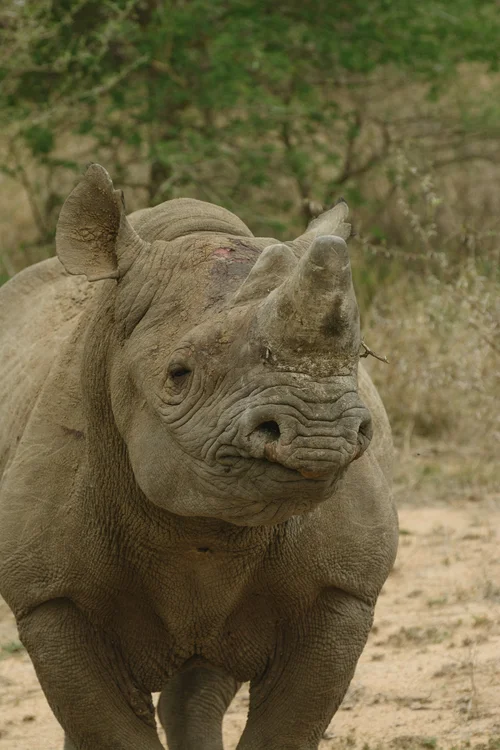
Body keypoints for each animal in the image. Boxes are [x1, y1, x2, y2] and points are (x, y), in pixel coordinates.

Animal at [0, 164, 398, 750]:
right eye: (178, 374)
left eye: (360, 356)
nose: (320, 430)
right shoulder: (50, 596)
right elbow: (108, 730)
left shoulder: (343, 588)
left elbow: (287, 730)